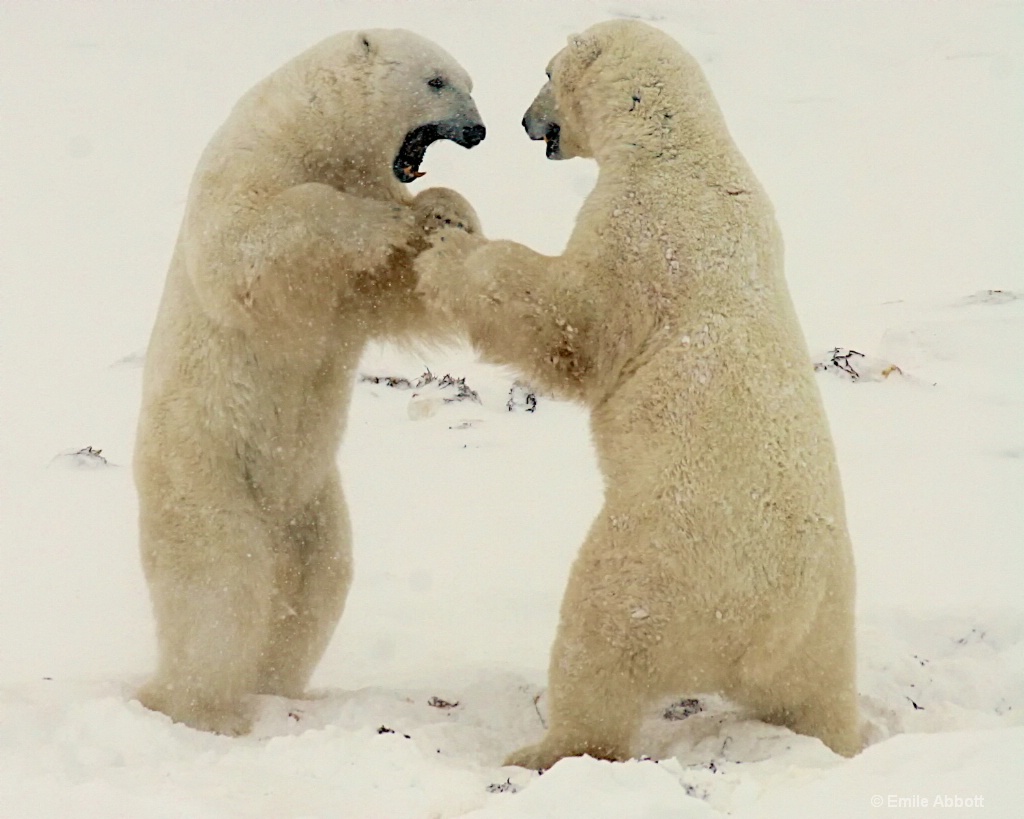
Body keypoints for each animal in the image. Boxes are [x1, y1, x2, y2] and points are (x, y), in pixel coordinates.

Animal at [133, 31, 483, 737]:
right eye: (436, 81)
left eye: (469, 80)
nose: (480, 130)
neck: (314, 132)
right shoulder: (249, 167)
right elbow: (251, 243)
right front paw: (380, 222)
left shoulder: (356, 278)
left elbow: (395, 292)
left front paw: (446, 216)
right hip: (206, 464)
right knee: (220, 582)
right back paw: (205, 708)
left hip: (309, 496)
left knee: (315, 580)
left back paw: (280, 688)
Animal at [411, 17, 860, 769]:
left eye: (546, 71)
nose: (526, 120)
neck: (679, 148)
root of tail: (765, 626)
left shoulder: (641, 229)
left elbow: (570, 317)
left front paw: (447, 245)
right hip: (825, 623)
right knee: (818, 694)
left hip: (656, 562)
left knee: (596, 643)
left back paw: (541, 745)